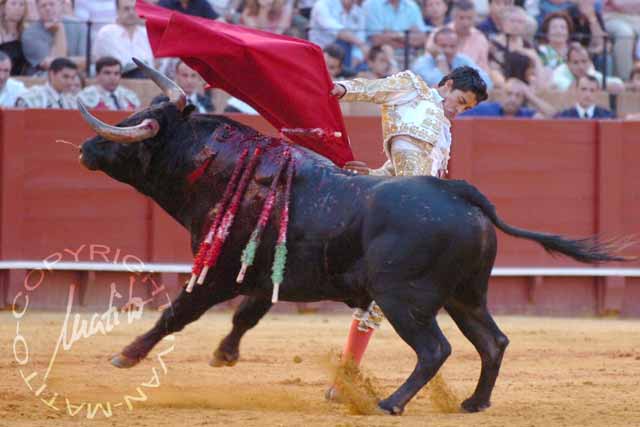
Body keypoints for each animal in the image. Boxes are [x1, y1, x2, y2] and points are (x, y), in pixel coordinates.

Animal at [80, 93, 624, 414]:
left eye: (136, 127)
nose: (86, 148)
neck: (231, 170)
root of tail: (459, 193)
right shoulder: (267, 275)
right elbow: (246, 316)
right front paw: (224, 354)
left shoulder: (219, 272)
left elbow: (177, 313)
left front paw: (125, 355)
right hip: (466, 296)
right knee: (492, 342)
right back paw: (473, 403)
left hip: (404, 298)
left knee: (436, 349)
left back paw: (389, 403)